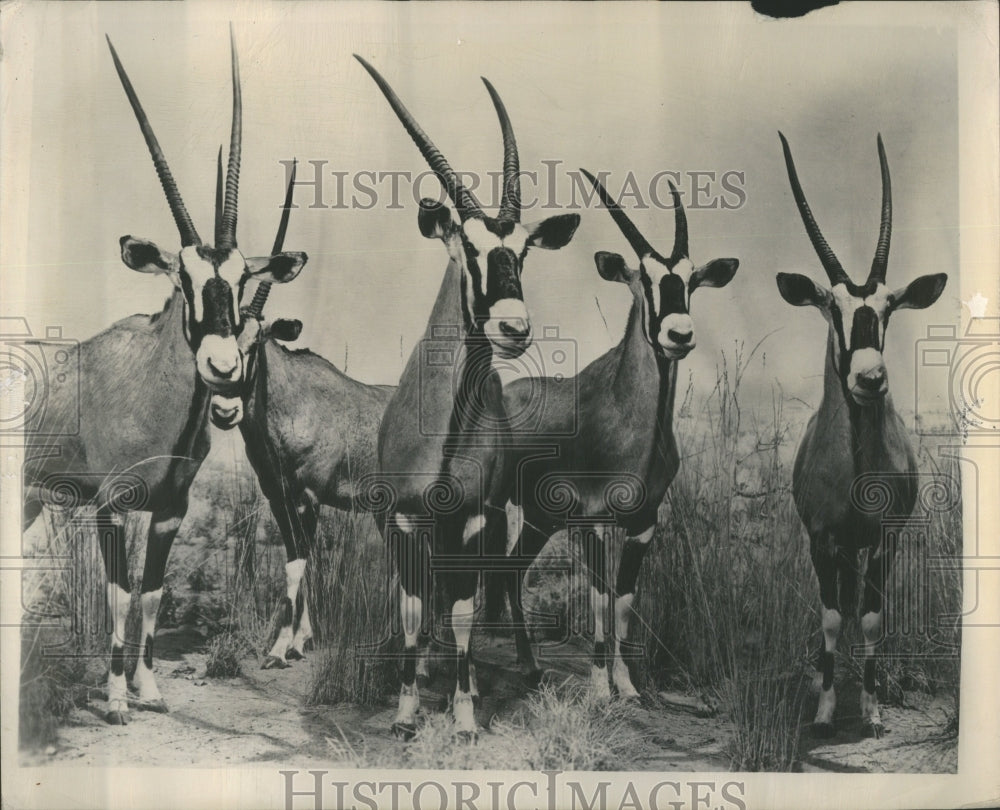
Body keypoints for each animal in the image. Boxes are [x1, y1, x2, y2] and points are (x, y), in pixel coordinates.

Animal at [21, 33, 304, 724]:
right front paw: (117, 699)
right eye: (183, 277)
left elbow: (150, 593)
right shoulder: (110, 505)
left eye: (239, 277)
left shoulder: (171, 510)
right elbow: (120, 595)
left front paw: (149, 690)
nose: (221, 367)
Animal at [207, 163, 394, 664]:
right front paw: (300, 639)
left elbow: (299, 565)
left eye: (256, 342)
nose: (225, 409)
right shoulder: (280, 497)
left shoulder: (308, 497)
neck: (289, 407)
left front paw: (282, 646)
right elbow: (297, 562)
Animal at [356, 55, 584, 740]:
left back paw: (503, 676)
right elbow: (412, 614)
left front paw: (462, 717)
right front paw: (407, 712)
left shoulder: (473, 520)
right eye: (470, 247)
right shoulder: (405, 522)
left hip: (501, 525)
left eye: (524, 250)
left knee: (492, 590)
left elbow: (461, 617)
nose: (514, 327)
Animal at [504, 169, 740, 696]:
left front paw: (627, 686)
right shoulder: (593, 520)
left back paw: (528, 666)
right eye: (644, 280)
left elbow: (624, 601)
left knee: (509, 568)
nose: (679, 335)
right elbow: (598, 600)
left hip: (540, 518)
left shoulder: (642, 523)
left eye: (691, 280)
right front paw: (597, 688)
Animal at [776, 134, 948, 740]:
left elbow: (871, 617)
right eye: (832, 306)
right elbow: (832, 618)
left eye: (889, 307)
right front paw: (827, 712)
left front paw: (871, 711)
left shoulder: (883, 539)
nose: (870, 379)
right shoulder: (822, 539)